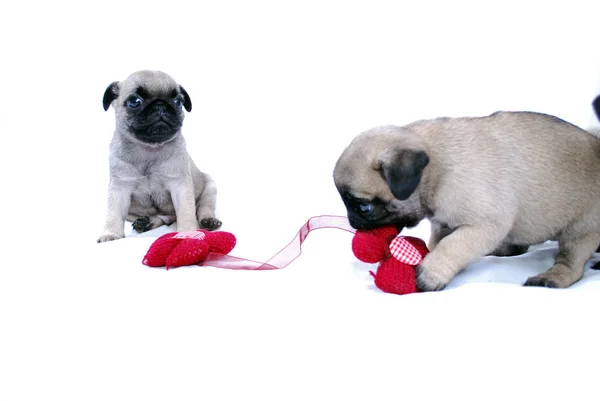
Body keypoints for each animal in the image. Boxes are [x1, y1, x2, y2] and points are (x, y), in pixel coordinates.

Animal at [97, 70, 221, 242]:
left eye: (178, 102)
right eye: (134, 101)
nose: (161, 105)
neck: (149, 149)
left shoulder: (180, 186)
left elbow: (186, 212)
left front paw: (188, 231)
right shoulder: (119, 188)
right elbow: (113, 213)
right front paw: (111, 234)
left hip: (210, 188)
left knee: (203, 207)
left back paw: (208, 221)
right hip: (132, 210)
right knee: (162, 218)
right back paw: (145, 222)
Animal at [332, 111, 600, 290]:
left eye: (364, 207)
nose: (352, 222)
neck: (437, 165)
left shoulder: (484, 225)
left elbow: (452, 246)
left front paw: (430, 272)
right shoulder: (443, 222)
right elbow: (439, 243)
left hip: (581, 229)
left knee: (572, 262)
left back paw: (552, 277)